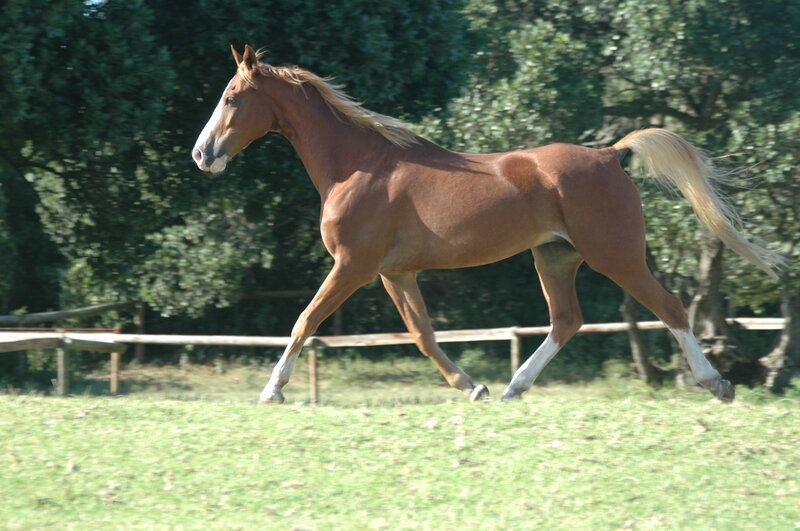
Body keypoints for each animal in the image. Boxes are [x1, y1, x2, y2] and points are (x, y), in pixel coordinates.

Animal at [193, 45, 783, 404]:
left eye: (231, 98)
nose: (202, 155)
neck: (358, 165)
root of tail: (610, 154)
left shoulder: (353, 266)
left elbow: (304, 320)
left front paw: (272, 390)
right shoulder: (393, 273)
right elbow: (423, 335)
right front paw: (470, 386)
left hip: (615, 255)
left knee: (670, 308)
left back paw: (716, 382)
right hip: (554, 257)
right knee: (567, 321)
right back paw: (512, 387)